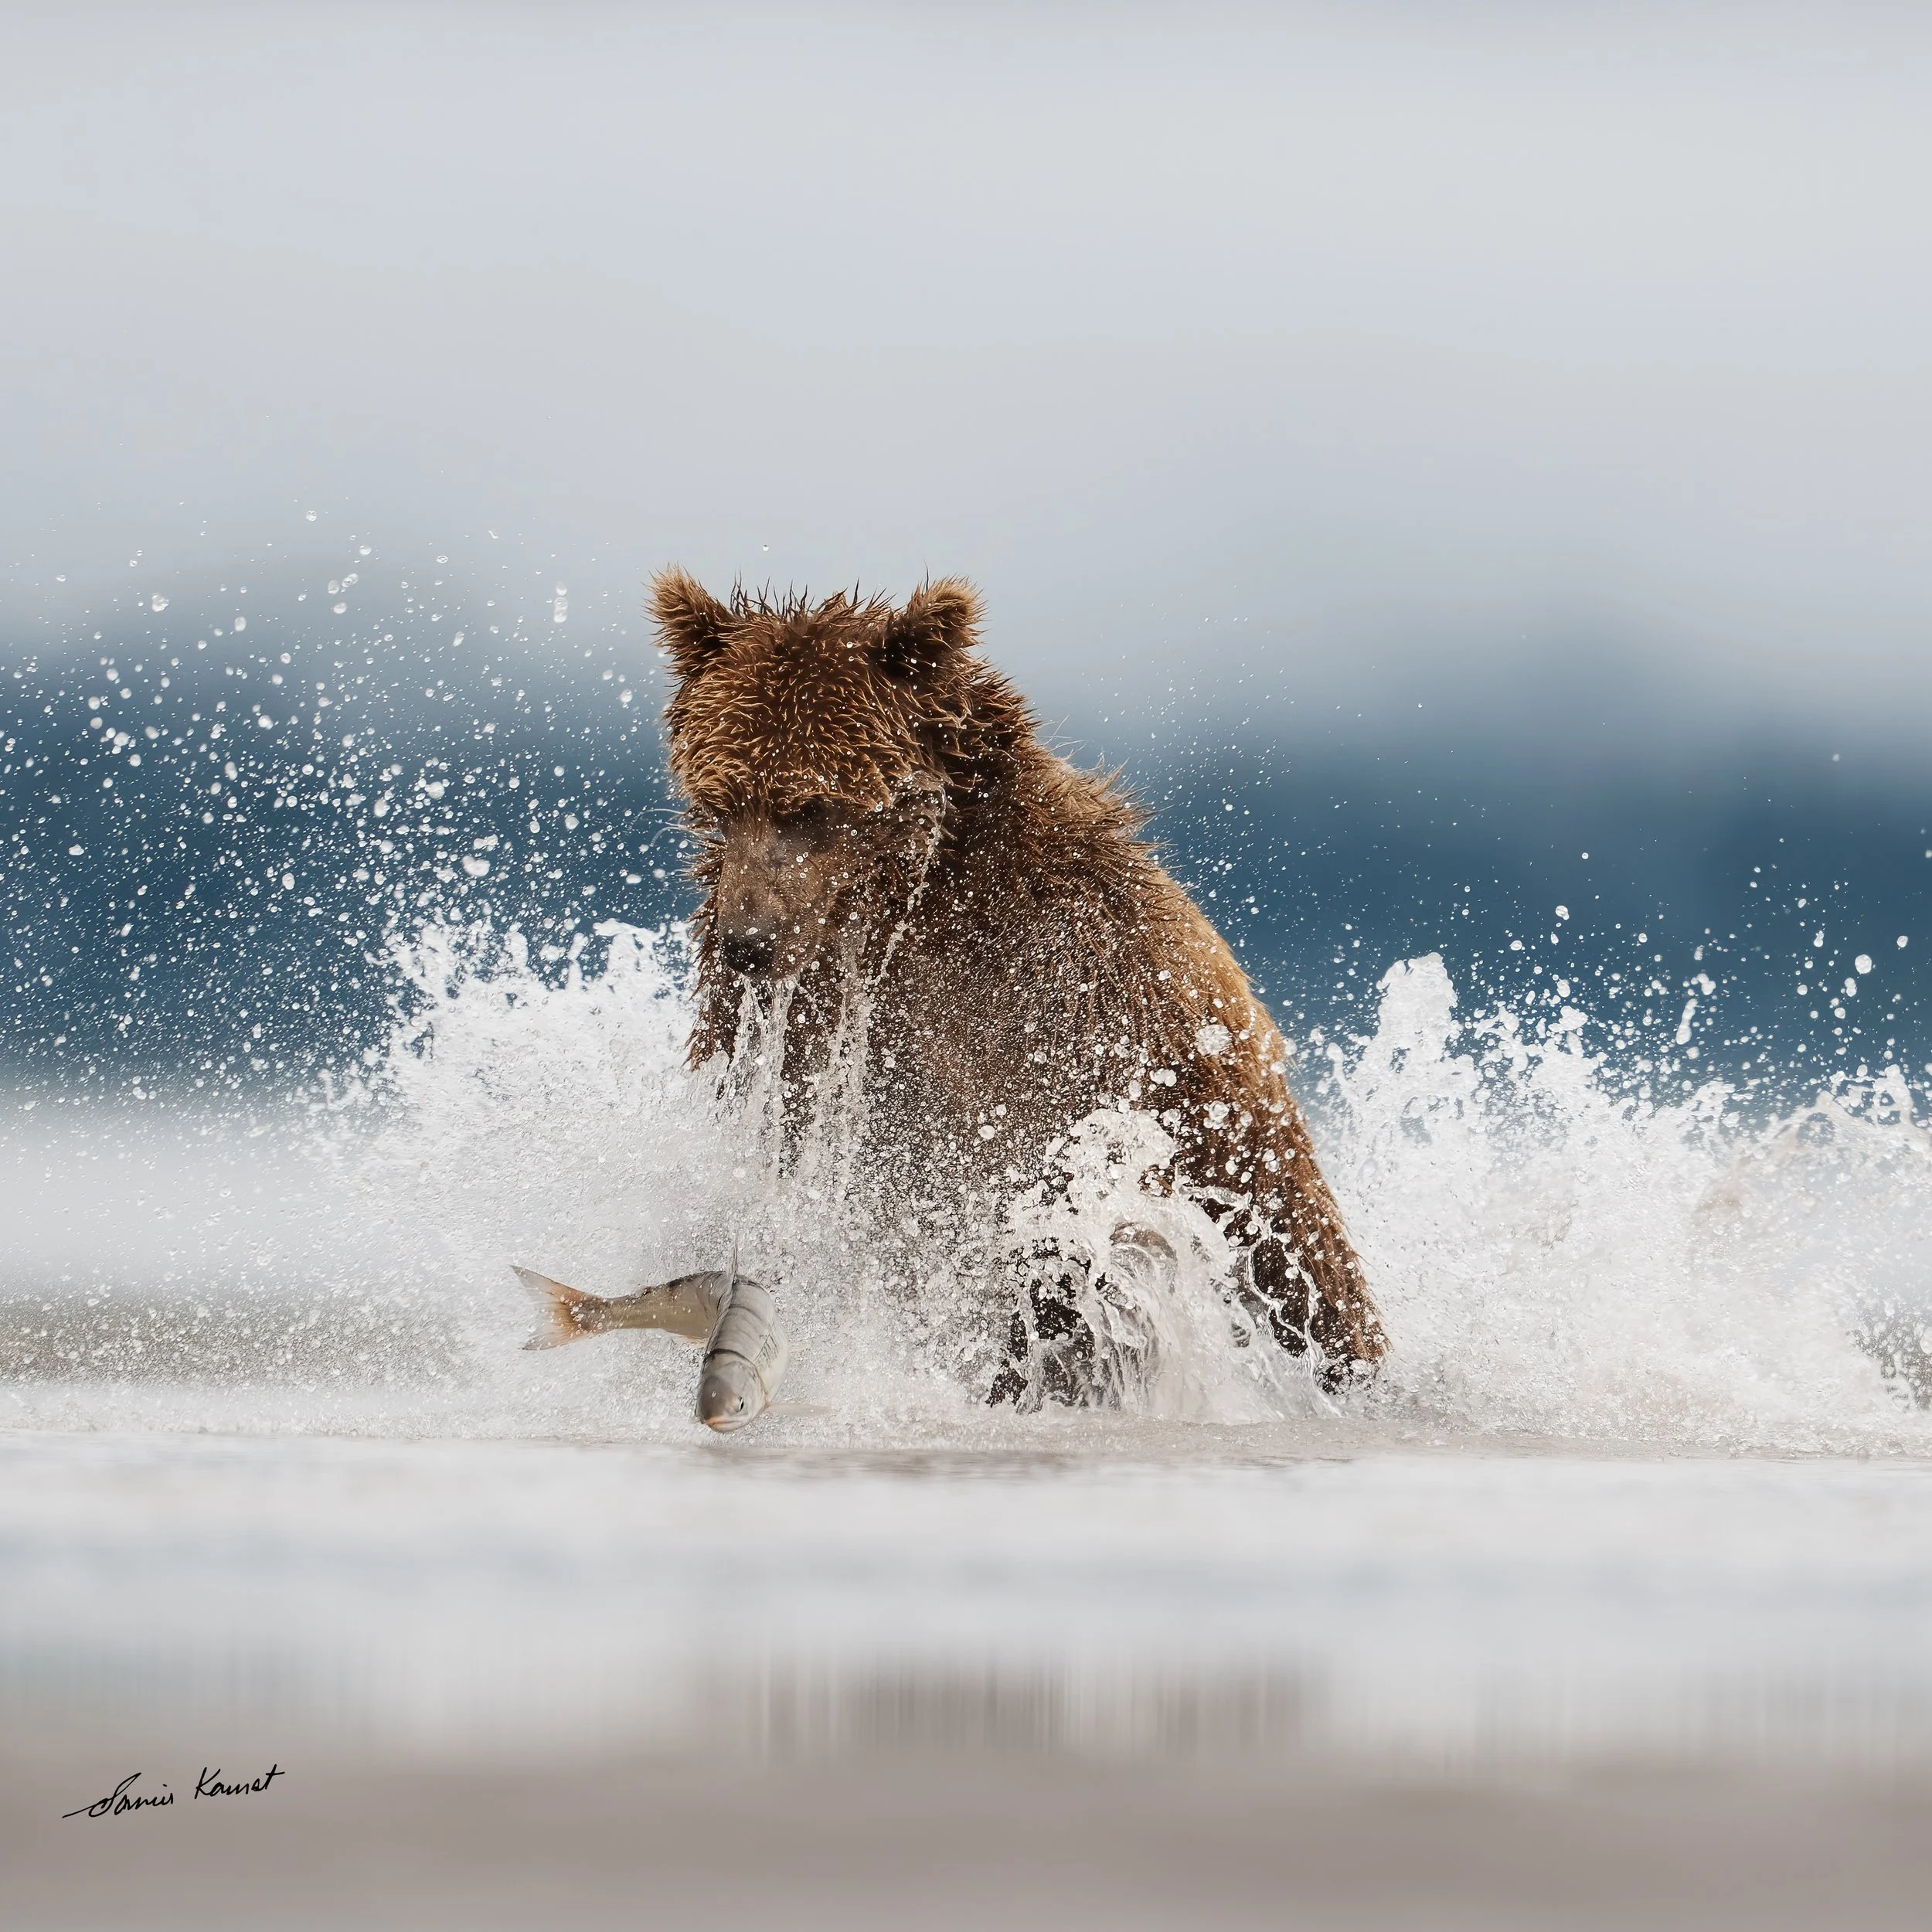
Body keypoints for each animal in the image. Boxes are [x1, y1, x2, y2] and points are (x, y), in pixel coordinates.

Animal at [652, 567, 1386, 1401]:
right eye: (722, 798)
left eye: (809, 806)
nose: (748, 943)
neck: (908, 908)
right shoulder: (808, 1027)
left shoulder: (1068, 978)